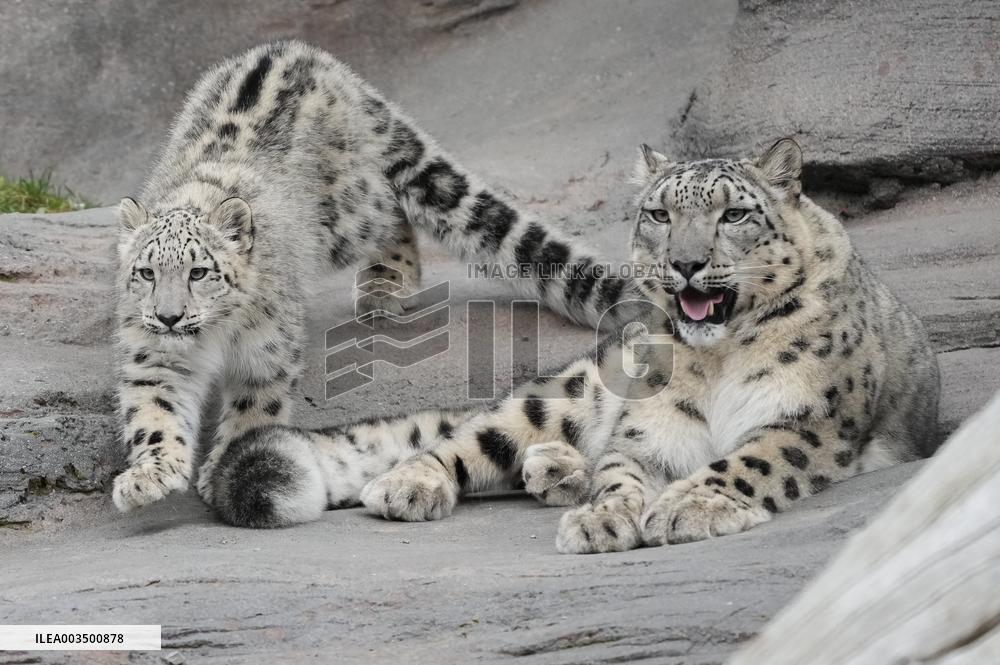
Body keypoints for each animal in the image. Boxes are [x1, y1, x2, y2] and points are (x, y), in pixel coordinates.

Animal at [110, 40, 647, 515]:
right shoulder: (154, 354)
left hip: (347, 215)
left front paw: (223, 463)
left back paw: (386, 284)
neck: (212, 337)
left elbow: (253, 408)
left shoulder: (267, 349)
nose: (169, 317)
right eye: (146, 272)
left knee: (392, 212)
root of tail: (317, 59)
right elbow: (154, 409)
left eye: (199, 271)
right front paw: (150, 476)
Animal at [342, 138, 940, 553]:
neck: (719, 358)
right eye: (659, 214)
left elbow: (748, 461)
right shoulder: (651, 427)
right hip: (575, 386)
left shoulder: (808, 417)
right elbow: (620, 473)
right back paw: (413, 483)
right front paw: (602, 519)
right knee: (482, 432)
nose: (686, 262)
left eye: (734, 214)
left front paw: (688, 507)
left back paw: (553, 468)